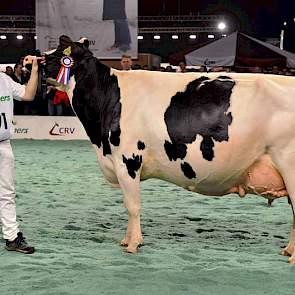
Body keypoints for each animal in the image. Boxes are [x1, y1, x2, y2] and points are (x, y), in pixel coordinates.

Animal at [42, 35, 295, 264]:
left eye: (59, 54)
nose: (38, 62)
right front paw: (126, 240)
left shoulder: (128, 160)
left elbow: (132, 205)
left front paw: (133, 244)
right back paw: (288, 251)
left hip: (289, 166)